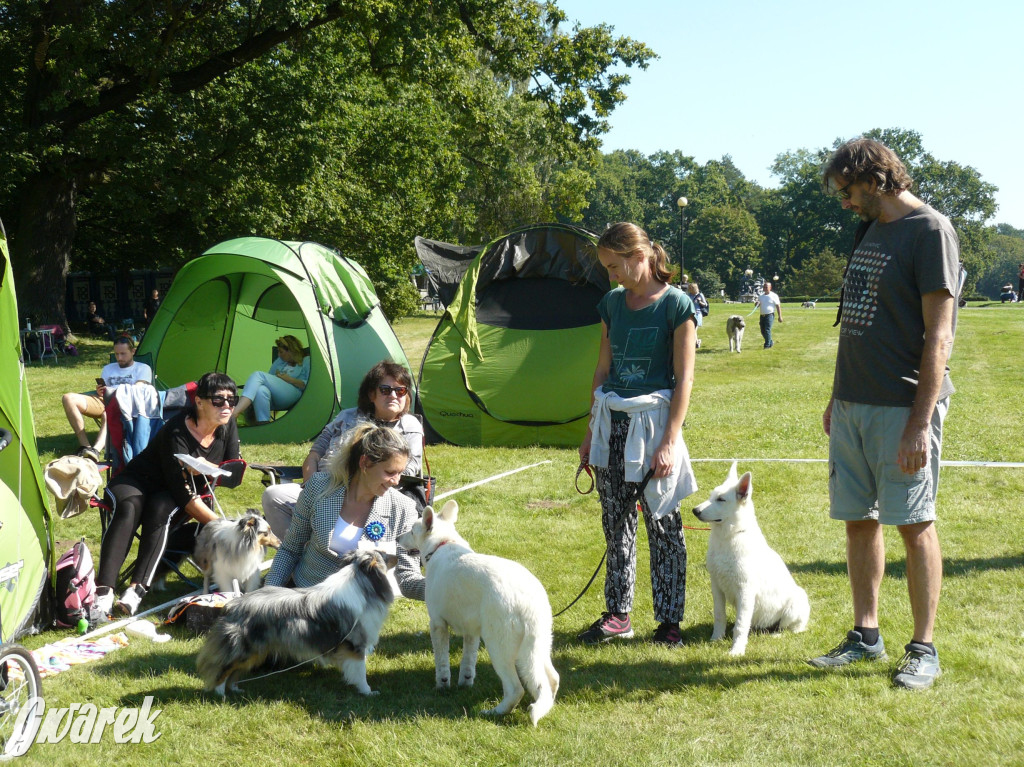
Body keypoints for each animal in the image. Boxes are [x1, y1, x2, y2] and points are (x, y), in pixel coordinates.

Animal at [197, 548, 397, 696]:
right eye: (385, 555)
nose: (399, 555)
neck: (361, 583)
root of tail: (232, 605)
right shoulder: (356, 645)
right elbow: (360, 672)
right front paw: (368, 692)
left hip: (254, 651)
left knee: (233, 672)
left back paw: (236, 690)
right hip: (245, 649)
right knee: (223, 670)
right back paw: (221, 694)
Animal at [399, 499, 561, 729]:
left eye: (412, 530)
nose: (396, 538)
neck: (443, 544)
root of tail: (528, 602)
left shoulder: (437, 624)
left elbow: (442, 662)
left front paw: (442, 685)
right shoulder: (471, 631)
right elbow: (468, 661)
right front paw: (464, 683)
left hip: (499, 649)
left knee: (516, 689)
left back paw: (495, 712)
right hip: (538, 646)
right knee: (552, 679)